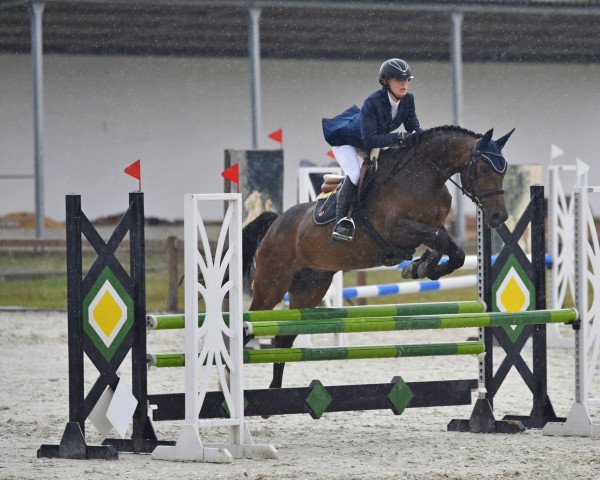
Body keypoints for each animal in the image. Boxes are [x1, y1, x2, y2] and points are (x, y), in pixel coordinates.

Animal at [243, 125, 510, 388]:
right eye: (483, 168)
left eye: (504, 170)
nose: (499, 217)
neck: (424, 176)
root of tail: (276, 223)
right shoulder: (399, 229)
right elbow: (441, 242)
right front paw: (420, 267)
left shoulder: (434, 227)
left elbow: (453, 252)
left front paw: (418, 267)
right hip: (272, 284)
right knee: (251, 324)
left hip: (310, 288)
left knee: (283, 339)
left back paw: (275, 390)